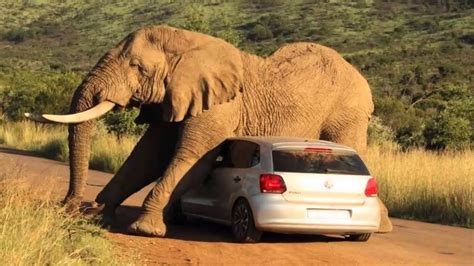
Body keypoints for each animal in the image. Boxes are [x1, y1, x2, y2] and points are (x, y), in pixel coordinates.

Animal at [25, 25, 392, 237]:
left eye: (138, 68)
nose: (70, 206)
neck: (191, 44)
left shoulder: (218, 107)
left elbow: (191, 158)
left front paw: (145, 229)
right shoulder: (177, 96)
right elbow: (148, 157)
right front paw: (102, 215)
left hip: (347, 112)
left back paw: (382, 226)